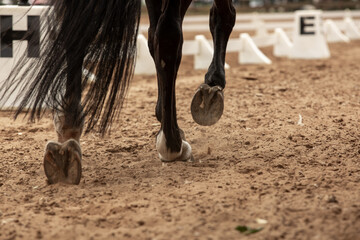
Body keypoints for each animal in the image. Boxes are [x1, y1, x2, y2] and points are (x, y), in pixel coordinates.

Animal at [0, 0, 236, 185]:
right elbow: (222, 15)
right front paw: (212, 86)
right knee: (169, 35)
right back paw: (173, 145)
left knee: (75, 32)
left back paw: (67, 137)